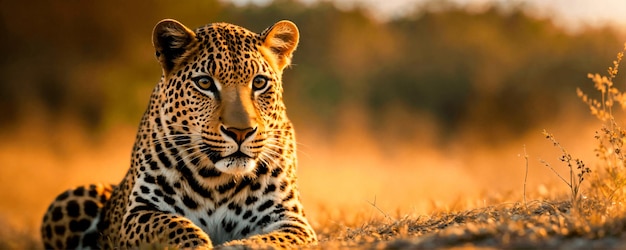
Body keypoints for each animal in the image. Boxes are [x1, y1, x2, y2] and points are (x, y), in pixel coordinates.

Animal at [40, 18, 316, 249]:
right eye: (205, 83)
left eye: (259, 83)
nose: (241, 132)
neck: (219, 182)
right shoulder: (141, 211)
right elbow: (179, 227)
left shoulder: (292, 220)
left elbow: (263, 241)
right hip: (68, 199)